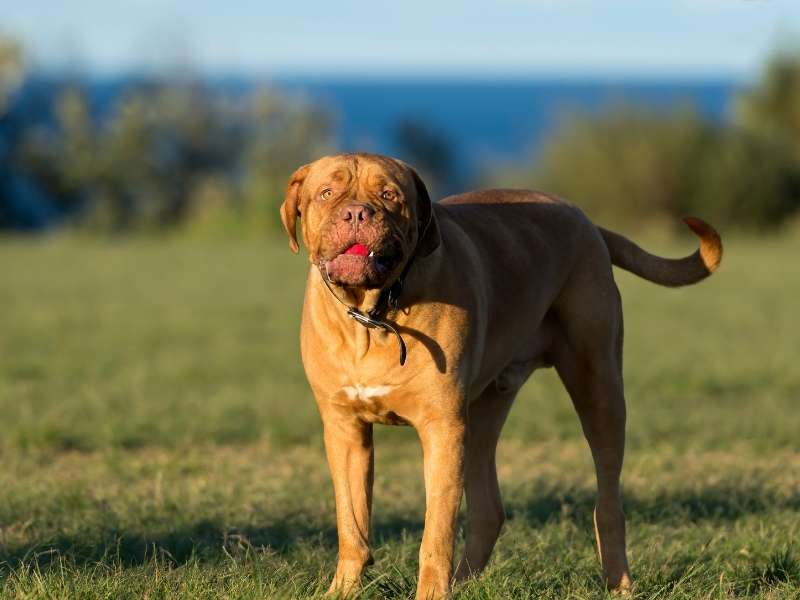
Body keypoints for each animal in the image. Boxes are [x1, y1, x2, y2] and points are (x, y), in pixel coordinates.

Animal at [280, 152, 720, 596]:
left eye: (389, 195)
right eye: (327, 193)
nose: (357, 212)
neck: (371, 317)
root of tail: (586, 222)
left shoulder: (443, 428)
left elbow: (436, 532)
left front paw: (432, 593)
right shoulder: (345, 430)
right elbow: (352, 522)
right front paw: (343, 590)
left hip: (599, 388)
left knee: (608, 503)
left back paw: (619, 584)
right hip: (483, 413)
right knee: (489, 509)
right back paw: (465, 582)